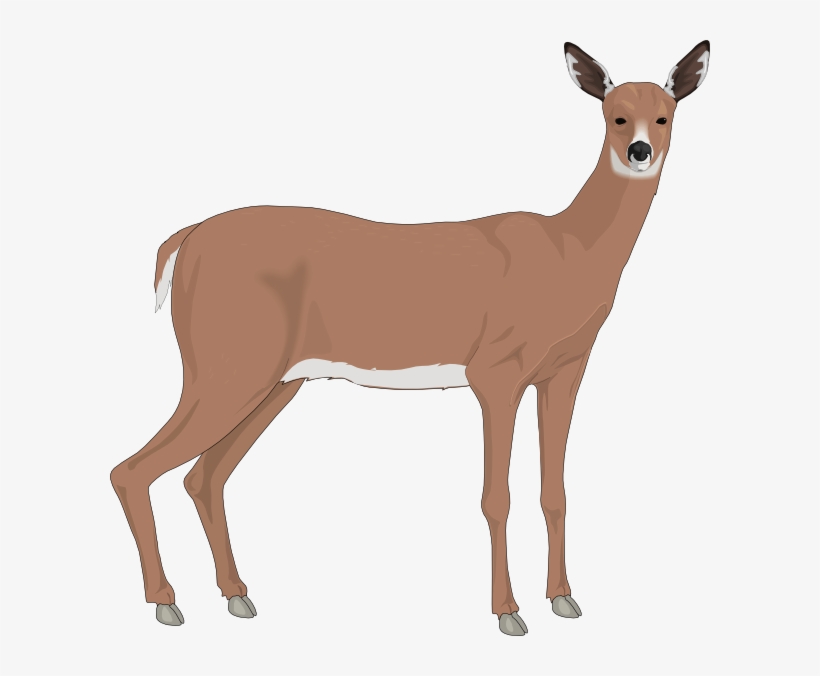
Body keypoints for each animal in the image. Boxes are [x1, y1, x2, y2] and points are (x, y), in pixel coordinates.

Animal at [111, 41, 710, 634]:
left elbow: (555, 493)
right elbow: (496, 497)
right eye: (614, 116)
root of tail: (183, 242)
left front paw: (564, 598)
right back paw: (166, 603)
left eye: (665, 114)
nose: (639, 151)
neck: (571, 252)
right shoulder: (496, 372)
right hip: (227, 367)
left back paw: (237, 596)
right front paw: (508, 612)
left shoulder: (565, 371)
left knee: (203, 477)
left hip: (275, 381)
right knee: (133, 469)